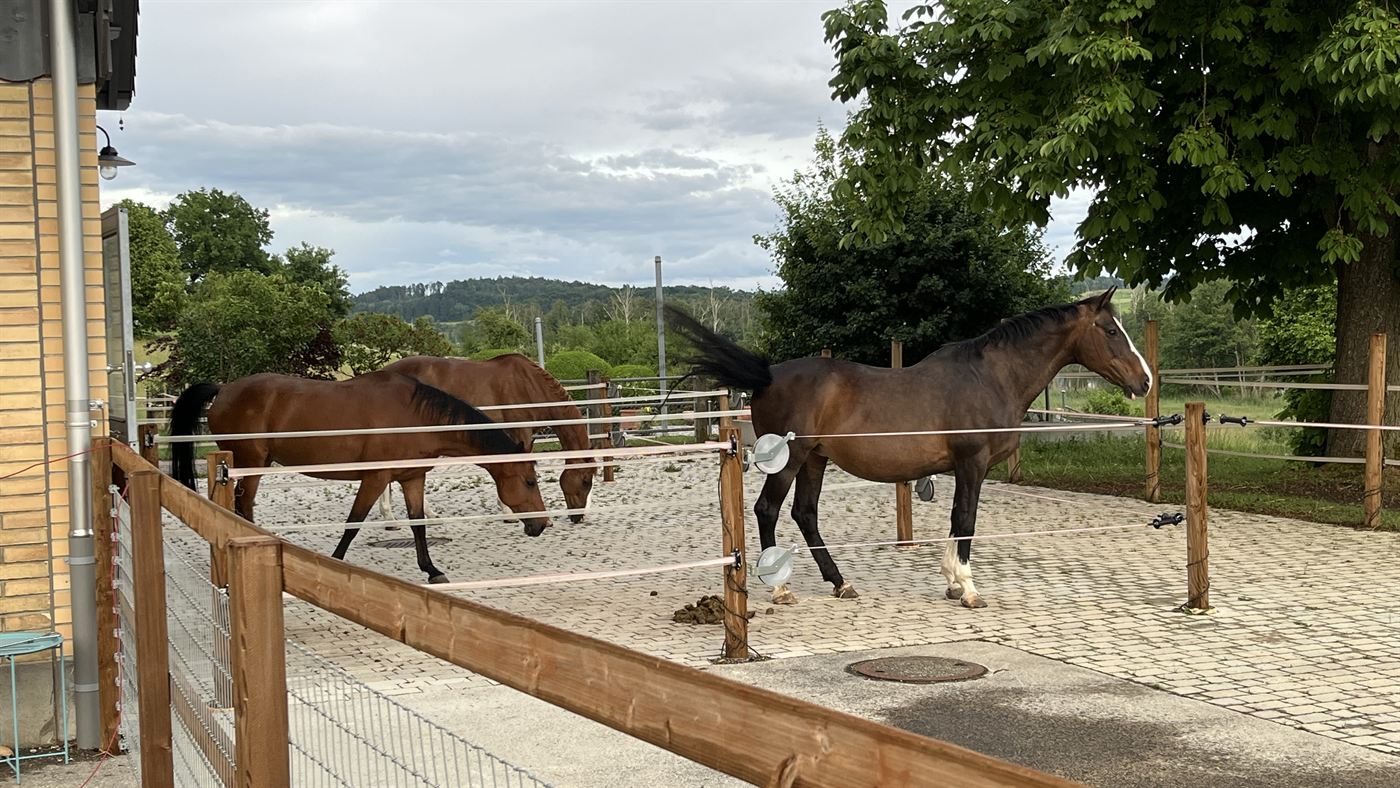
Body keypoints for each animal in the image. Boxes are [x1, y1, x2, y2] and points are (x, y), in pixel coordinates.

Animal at [167, 370, 552, 583]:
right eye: (529, 482)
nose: (541, 525)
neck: (413, 417)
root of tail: (224, 390)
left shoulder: (411, 478)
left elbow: (418, 524)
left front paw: (431, 569)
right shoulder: (375, 478)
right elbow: (354, 523)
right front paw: (334, 564)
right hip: (250, 463)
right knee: (243, 504)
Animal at [378, 353, 597, 523]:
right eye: (585, 481)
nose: (579, 517)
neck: (528, 385)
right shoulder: (521, 432)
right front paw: (511, 513)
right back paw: (395, 518)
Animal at [666, 288, 1151, 609]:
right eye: (1111, 330)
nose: (1144, 381)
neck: (990, 378)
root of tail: (768, 375)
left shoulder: (962, 468)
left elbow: (956, 521)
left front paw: (951, 581)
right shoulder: (972, 464)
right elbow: (966, 520)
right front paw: (967, 588)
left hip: (816, 459)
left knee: (805, 514)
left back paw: (841, 583)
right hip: (791, 461)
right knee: (768, 510)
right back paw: (781, 588)